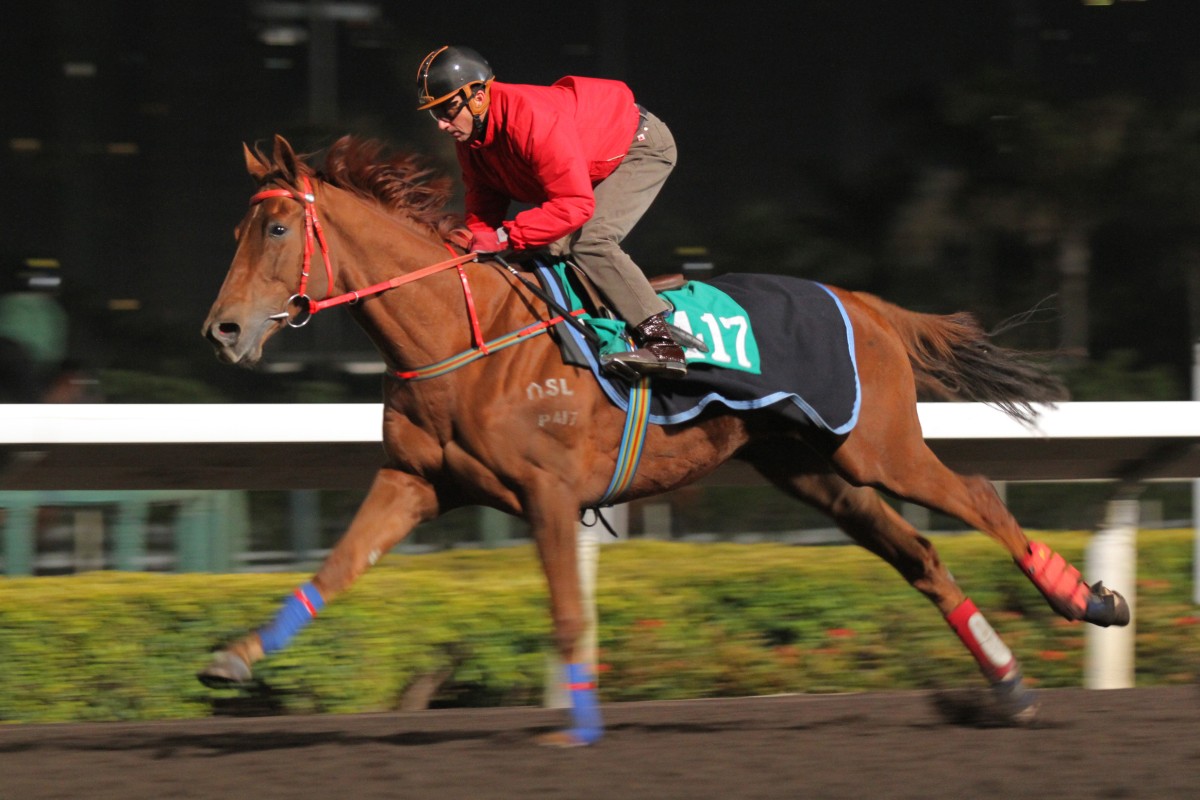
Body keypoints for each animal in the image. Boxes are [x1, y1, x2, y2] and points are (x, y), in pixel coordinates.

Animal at [196, 136, 1123, 743]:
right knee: (920, 556)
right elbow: (335, 568)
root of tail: (863, 300)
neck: (463, 339)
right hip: (813, 471)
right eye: (236, 232)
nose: (224, 330)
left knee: (975, 499)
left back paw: (1089, 602)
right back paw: (1009, 689)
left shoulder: (548, 493)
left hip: (877, 448)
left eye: (276, 230)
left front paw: (576, 726)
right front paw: (233, 660)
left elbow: (569, 611)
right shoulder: (413, 481)